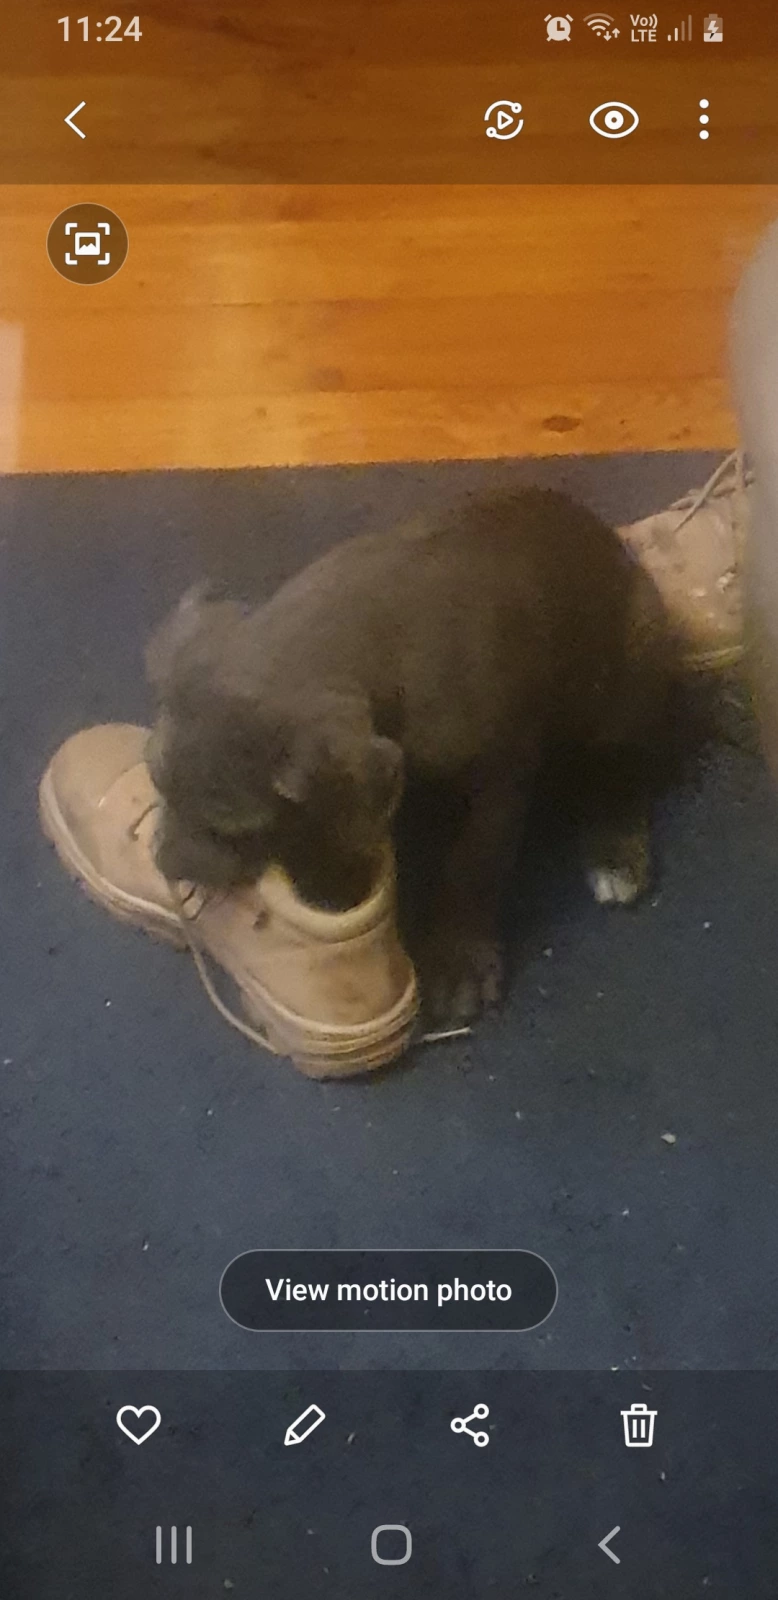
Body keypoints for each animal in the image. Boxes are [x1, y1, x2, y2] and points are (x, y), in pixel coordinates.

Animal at [145, 489, 672, 1025]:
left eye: (233, 832)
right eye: (158, 784)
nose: (164, 864)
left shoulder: (500, 783)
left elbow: (472, 866)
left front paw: (458, 959)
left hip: (629, 678)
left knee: (624, 766)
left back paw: (616, 848)